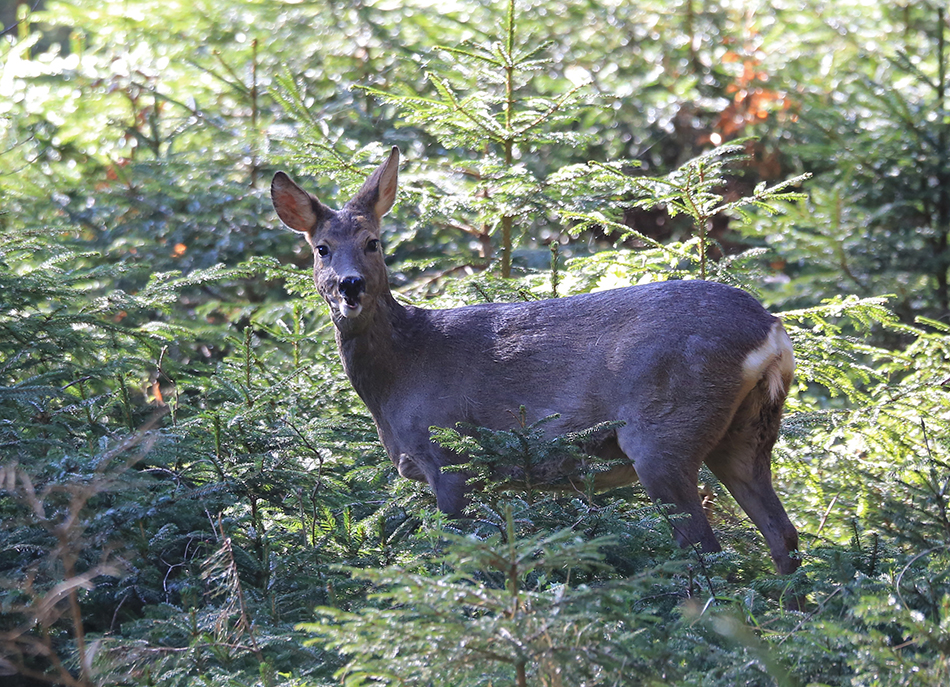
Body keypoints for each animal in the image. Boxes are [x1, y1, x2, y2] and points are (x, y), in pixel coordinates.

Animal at [274, 146, 804, 576]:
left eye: (373, 242)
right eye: (321, 249)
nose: (350, 286)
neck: (401, 374)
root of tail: (771, 332)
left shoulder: (450, 454)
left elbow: (456, 553)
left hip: (665, 431)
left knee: (703, 548)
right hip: (745, 432)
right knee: (783, 535)